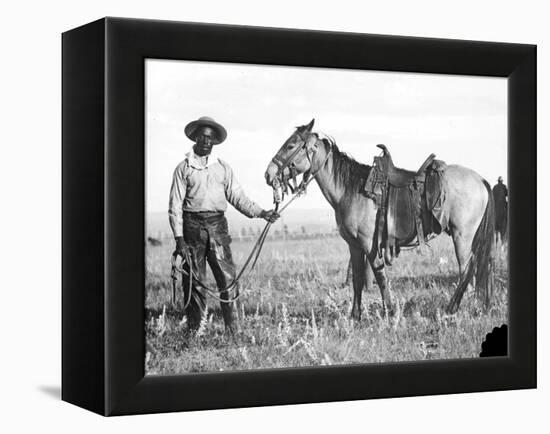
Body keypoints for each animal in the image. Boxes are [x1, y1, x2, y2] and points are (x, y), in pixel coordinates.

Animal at [266, 118, 498, 318]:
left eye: (291, 145)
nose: (268, 174)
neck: (350, 190)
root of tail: (481, 180)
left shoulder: (369, 243)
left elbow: (380, 276)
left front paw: (390, 312)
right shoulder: (354, 245)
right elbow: (358, 278)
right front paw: (355, 316)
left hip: (462, 236)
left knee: (467, 269)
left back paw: (452, 308)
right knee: (482, 265)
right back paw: (481, 306)